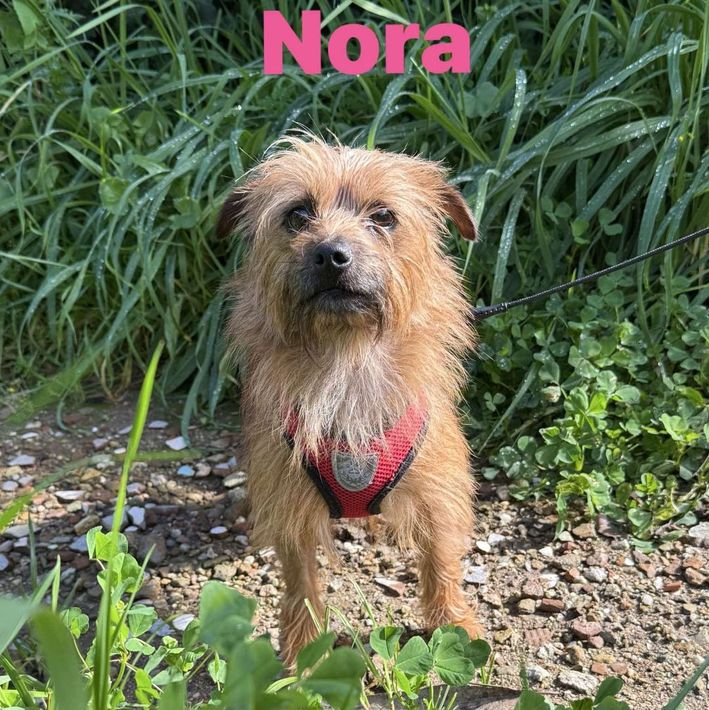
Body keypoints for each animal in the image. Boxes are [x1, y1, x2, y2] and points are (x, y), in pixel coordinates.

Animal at [218, 135, 480, 665]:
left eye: (383, 216)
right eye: (298, 214)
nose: (330, 254)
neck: (348, 361)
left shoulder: (440, 492)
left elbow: (441, 561)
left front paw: (455, 626)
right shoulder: (289, 506)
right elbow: (300, 584)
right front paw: (301, 651)